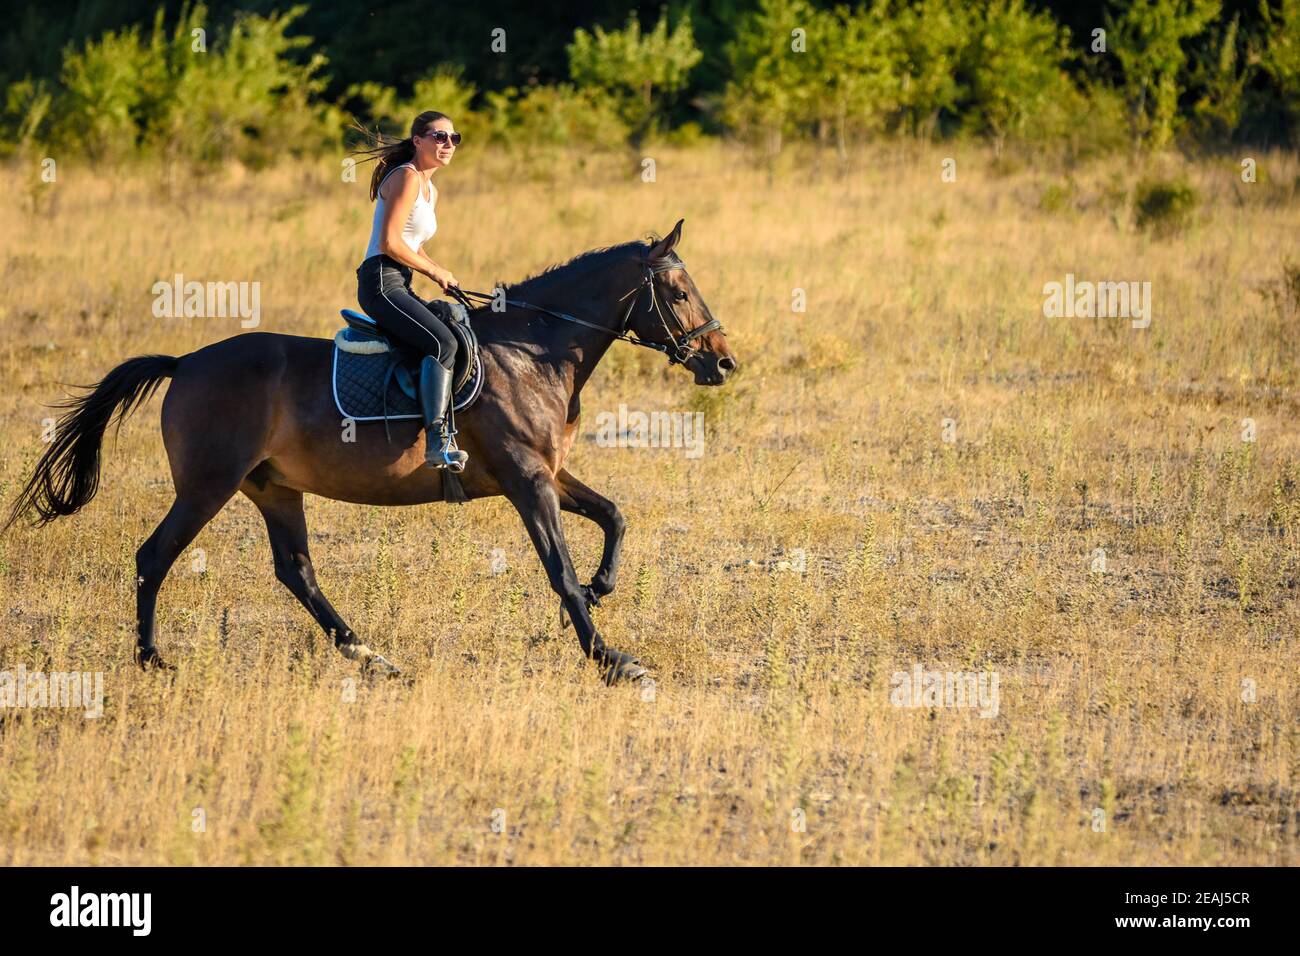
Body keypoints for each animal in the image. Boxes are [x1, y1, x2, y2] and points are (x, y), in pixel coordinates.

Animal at [5, 221, 738, 686]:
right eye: (677, 293)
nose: (723, 362)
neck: (533, 350)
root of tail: (185, 362)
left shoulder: (546, 472)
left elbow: (614, 517)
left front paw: (596, 593)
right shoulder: (527, 479)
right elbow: (557, 564)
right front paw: (611, 658)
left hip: (273, 488)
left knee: (296, 571)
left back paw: (370, 657)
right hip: (207, 486)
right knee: (154, 558)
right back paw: (153, 660)